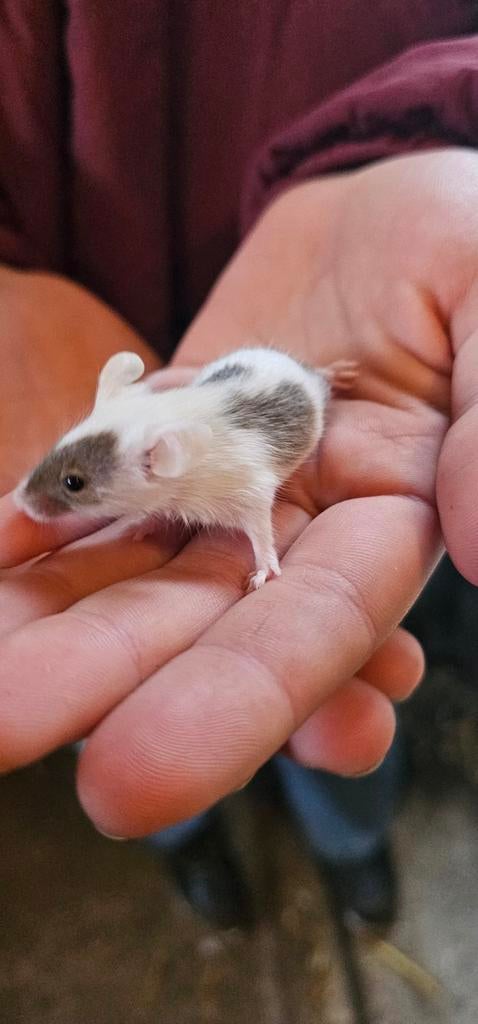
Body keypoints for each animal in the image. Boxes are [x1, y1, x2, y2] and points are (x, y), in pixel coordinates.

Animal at [15, 347, 358, 590]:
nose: (20, 501)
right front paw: (144, 524)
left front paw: (263, 571)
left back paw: (335, 373)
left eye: (73, 482)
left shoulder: (249, 491)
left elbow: (261, 532)